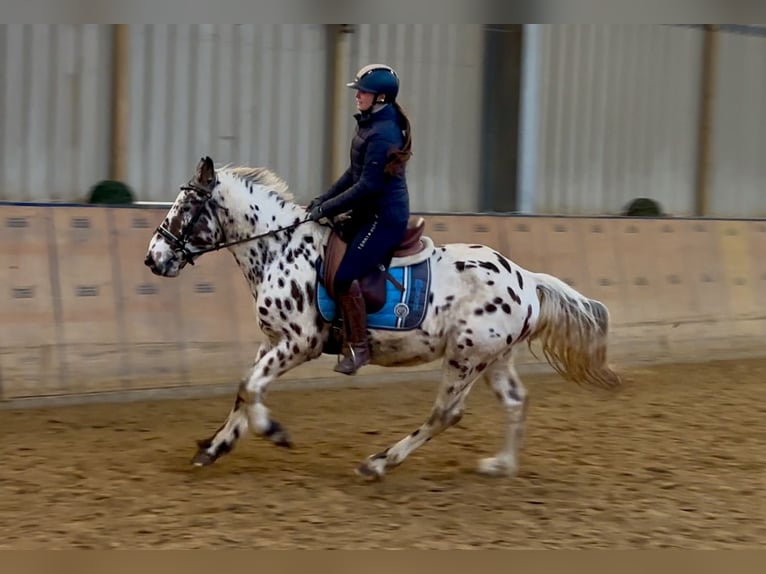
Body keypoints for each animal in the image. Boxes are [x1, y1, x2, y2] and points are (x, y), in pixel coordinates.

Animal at [146, 156, 624, 482]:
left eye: (186, 207)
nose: (153, 259)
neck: (279, 248)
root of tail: (526, 279)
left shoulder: (300, 342)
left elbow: (250, 388)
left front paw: (273, 431)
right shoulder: (271, 340)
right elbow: (244, 389)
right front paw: (215, 447)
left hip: (465, 357)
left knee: (445, 414)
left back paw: (378, 463)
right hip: (493, 359)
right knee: (514, 400)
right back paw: (500, 465)